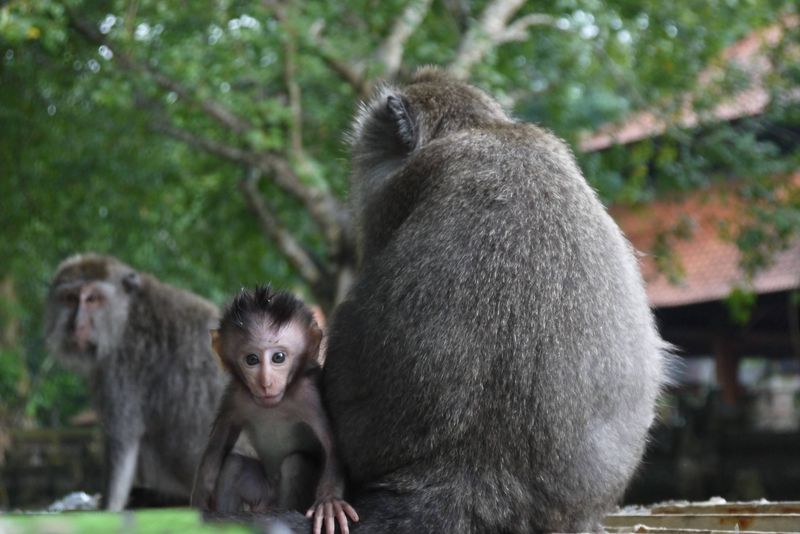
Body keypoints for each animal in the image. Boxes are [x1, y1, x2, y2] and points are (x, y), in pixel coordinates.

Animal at [43, 253, 227, 512]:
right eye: (70, 299)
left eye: (93, 299)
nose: (76, 325)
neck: (127, 314)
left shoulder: (121, 368)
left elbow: (123, 443)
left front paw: (109, 506)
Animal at [192, 288, 358, 534]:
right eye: (252, 359)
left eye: (278, 357)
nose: (265, 383)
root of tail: (268, 503)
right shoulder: (235, 396)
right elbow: (218, 445)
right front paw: (199, 504)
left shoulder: (309, 395)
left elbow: (332, 447)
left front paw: (329, 502)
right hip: (261, 491)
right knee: (233, 465)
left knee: (295, 463)